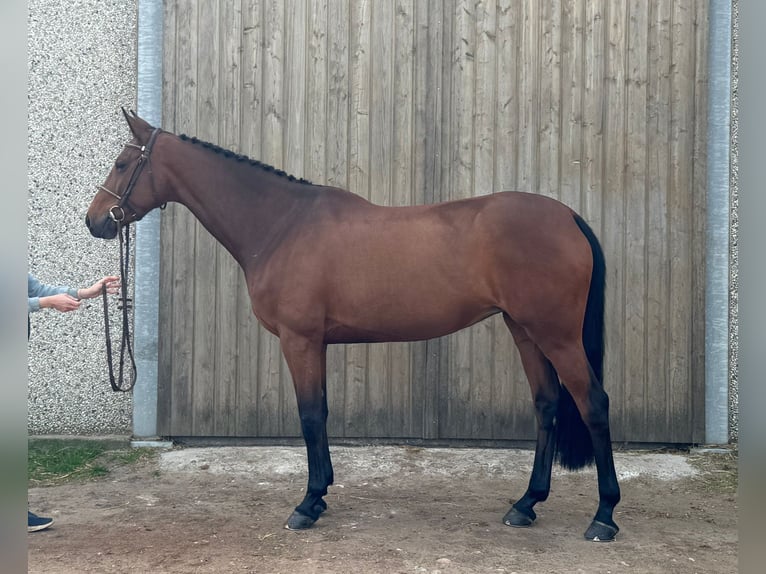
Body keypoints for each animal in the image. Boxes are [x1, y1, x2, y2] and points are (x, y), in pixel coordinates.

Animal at [86, 109, 620, 542]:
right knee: (547, 405)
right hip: (524, 330)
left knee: (592, 403)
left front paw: (306, 505)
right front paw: (320, 494)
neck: (281, 224)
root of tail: (568, 217)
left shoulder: (300, 340)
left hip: (556, 335)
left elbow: (309, 415)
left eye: (122, 164)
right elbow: (321, 411)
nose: (95, 222)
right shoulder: (317, 343)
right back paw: (526, 505)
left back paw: (604, 517)